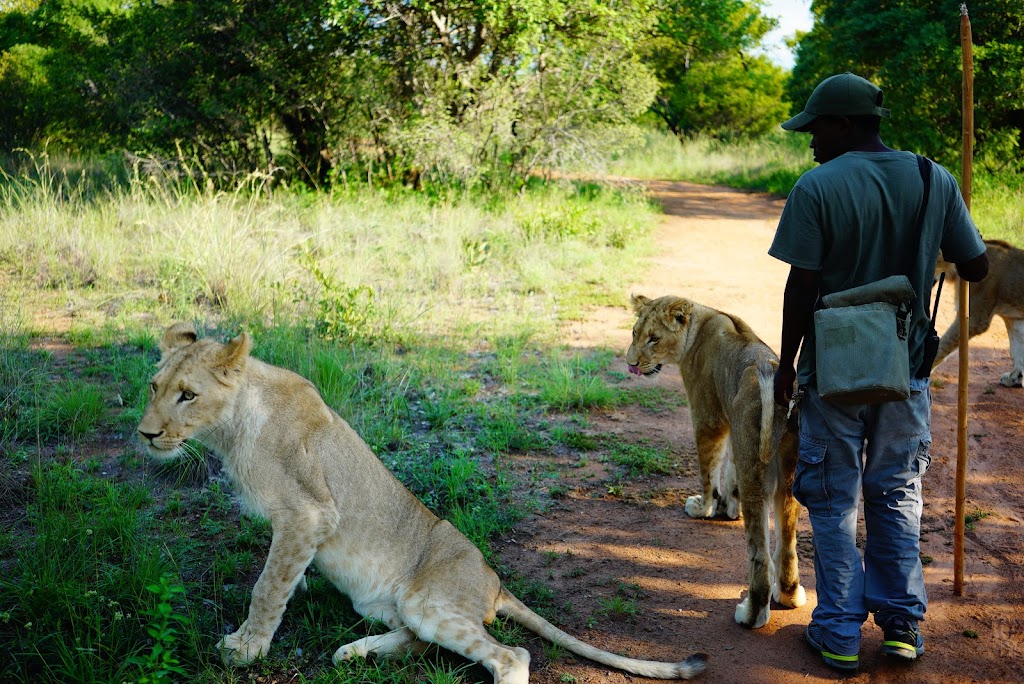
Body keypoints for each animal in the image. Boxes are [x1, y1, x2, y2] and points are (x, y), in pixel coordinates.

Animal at [136, 323, 708, 683]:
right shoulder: (298, 528)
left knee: (510, 654)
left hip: (428, 600)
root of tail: (495, 581)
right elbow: (282, 576)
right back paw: (354, 653)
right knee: (421, 642)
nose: (145, 435)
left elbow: (266, 587)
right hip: (379, 605)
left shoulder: (309, 513)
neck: (228, 430)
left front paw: (246, 648)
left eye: (188, 394)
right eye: (153, 386)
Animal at [625, 295, 806, 630]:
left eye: (654, 338)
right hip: (788, 472)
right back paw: (789, 595)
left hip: (756, 470)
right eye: (634, 333)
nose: (630, 362)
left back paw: (751, 614)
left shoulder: (708, 418)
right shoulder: (733, 426)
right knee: (787, 542)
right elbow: (730, 473)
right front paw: (729, 508)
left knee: (759, 554)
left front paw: (705, 507)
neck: (699, 325)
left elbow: (708, 470)